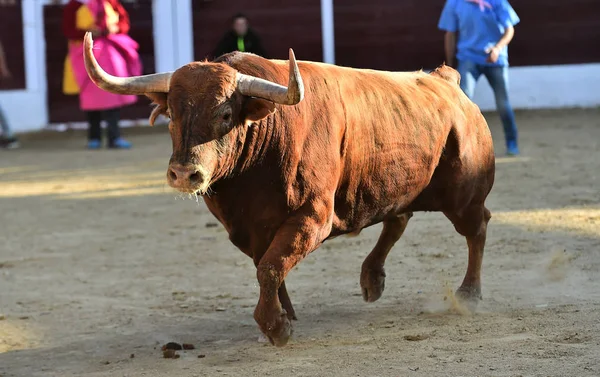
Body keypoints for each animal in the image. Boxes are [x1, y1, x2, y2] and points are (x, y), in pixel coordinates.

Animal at [84, 33, 496, 346]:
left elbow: (270, 267)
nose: (185, 174)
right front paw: (285, 314)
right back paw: (372, 279)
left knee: (476, 228)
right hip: (391, 181)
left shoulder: (313, 217)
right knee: (399, 217)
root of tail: (447, 81)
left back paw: (469, 295)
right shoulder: (248, 229)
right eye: (172, 114)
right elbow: (267, 265)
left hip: (464, 195)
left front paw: (276, 326)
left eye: (225, 114)